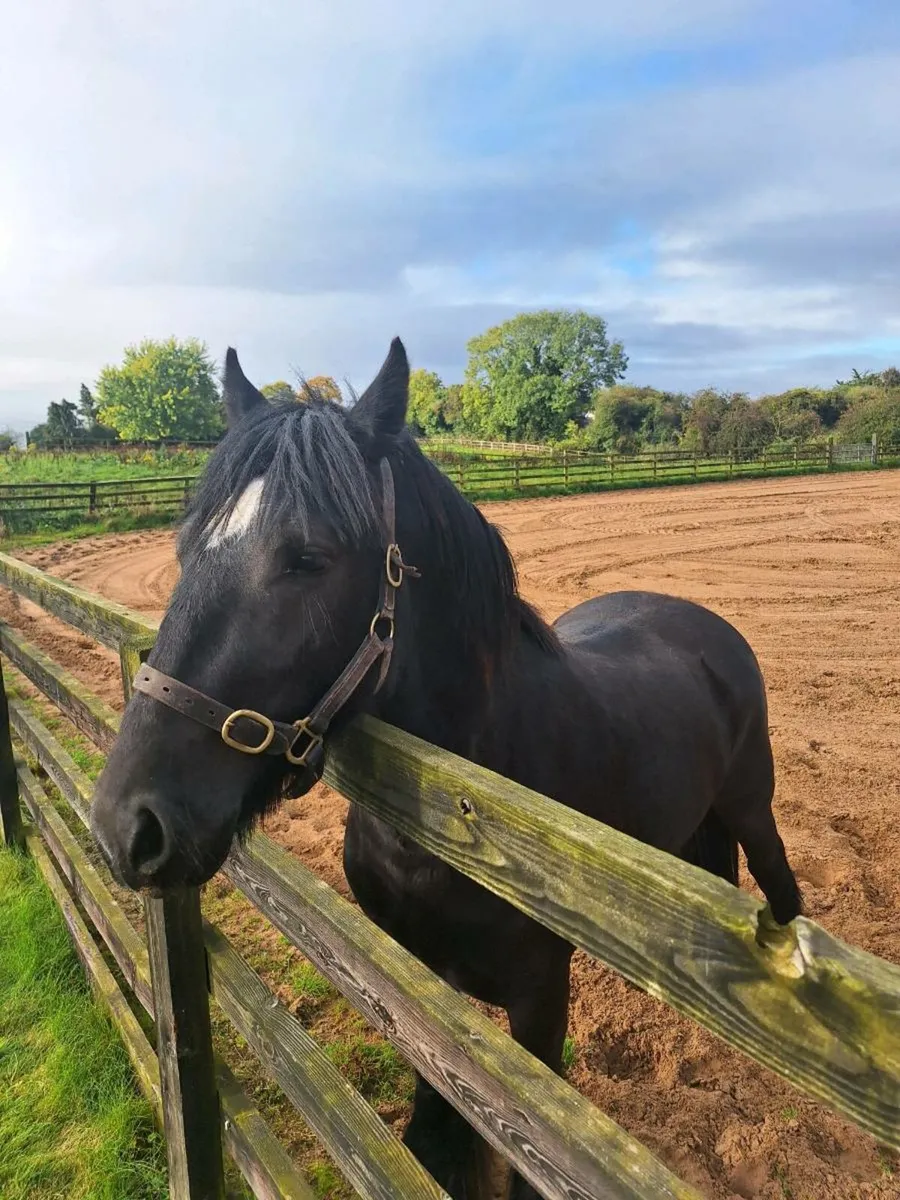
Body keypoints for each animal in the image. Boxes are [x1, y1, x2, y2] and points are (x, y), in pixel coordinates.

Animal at [90, 338, 802, 1199]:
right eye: (187, 546)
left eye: (307, 557)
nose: (127, 826)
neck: (470, 818)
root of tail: (703, 623)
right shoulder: (422, 978)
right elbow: (435, 1132)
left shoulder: (539, 1002)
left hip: (754, 811)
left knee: (782, 897)